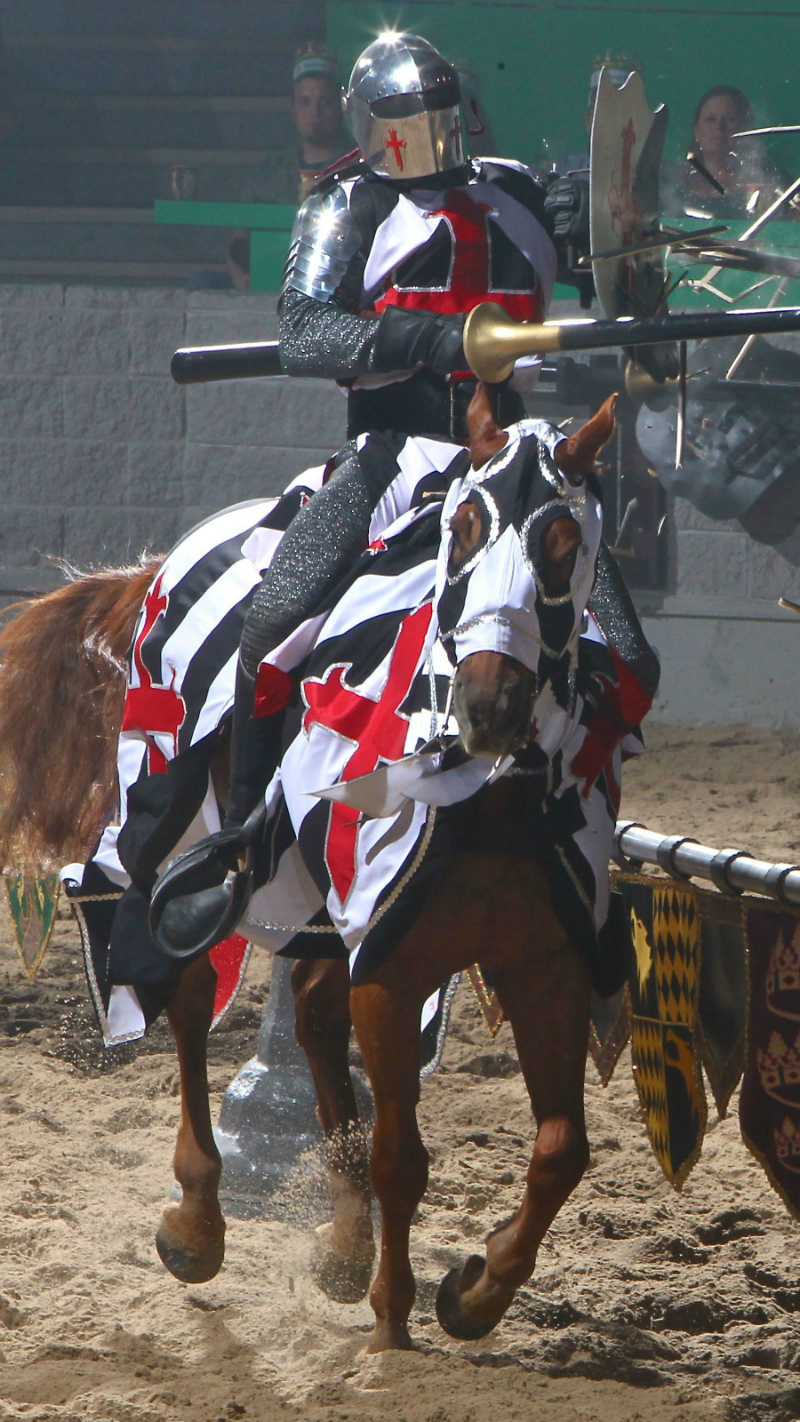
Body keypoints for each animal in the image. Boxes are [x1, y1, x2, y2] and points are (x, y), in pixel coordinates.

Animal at [0, 386, 628, 1342]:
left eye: (565, 538)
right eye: (464, 528)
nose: (490, 702)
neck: (483, 801)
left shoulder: (544, 967)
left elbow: (562, 1149)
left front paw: (475, 1292)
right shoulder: (392, 972)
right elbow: (403, 1157)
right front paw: (394, 1325)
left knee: (315, 1021)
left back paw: (341, 1242)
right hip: (188, 820)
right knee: (193, 995)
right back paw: (200, 1220)